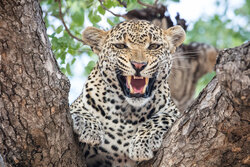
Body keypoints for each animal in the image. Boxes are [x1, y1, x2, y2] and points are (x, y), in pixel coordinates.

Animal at [70, 19, 186, 167]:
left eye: (153, 46)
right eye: (120, 46)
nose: (138, 65)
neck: (129, 113)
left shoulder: (174, 112)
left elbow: (162, 118)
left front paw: (142, 144)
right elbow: (77, 110)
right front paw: (90, 127)